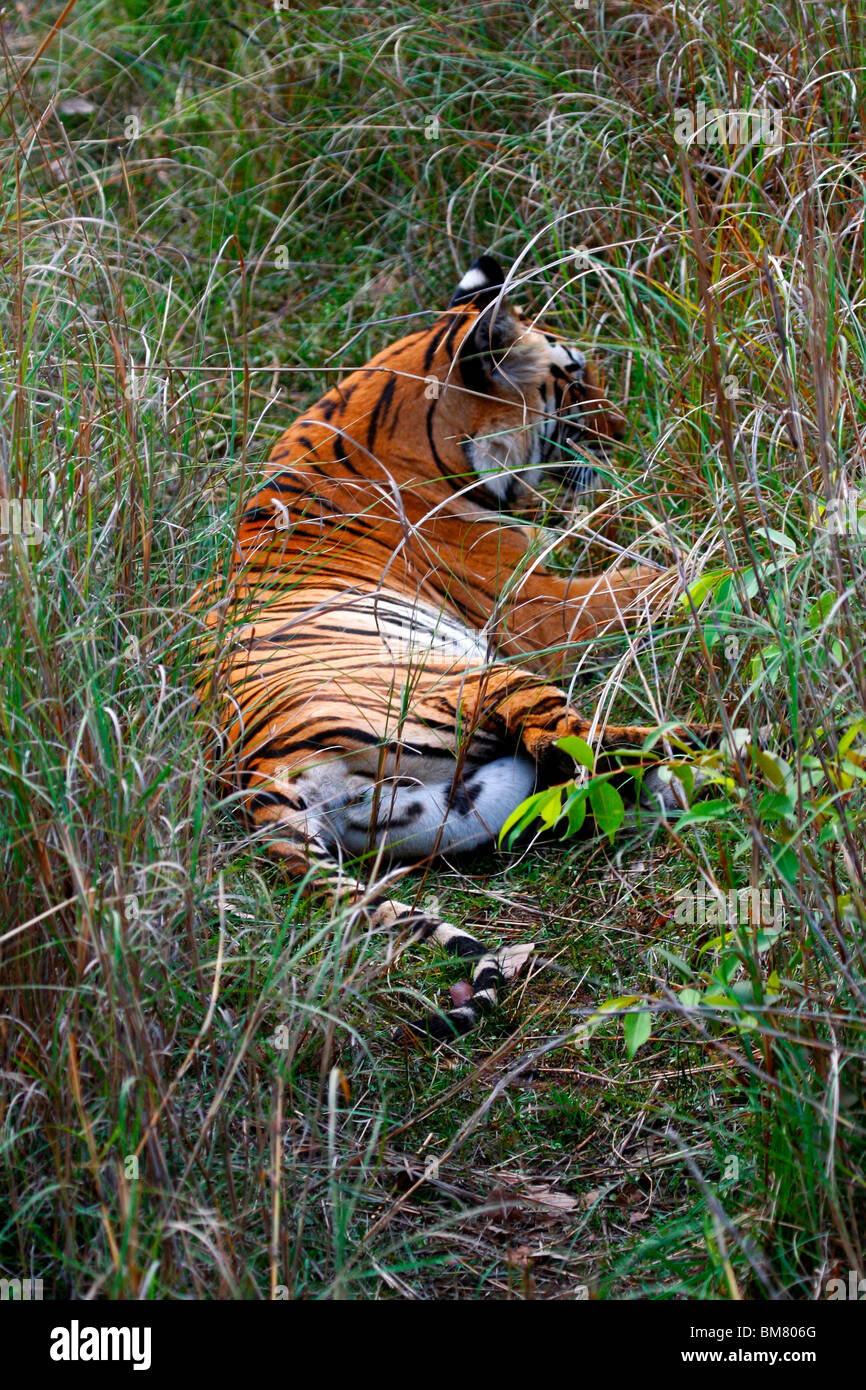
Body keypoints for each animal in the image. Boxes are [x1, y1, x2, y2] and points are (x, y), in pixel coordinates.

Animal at [194, 258, 706, 1045]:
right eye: (574, 377)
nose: (624, 432)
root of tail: (257, 775)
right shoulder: (540, 606)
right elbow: (653, 579)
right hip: (477, 679)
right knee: (580, 742)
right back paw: (723, 750)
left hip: (467, 801)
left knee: (570, 781)